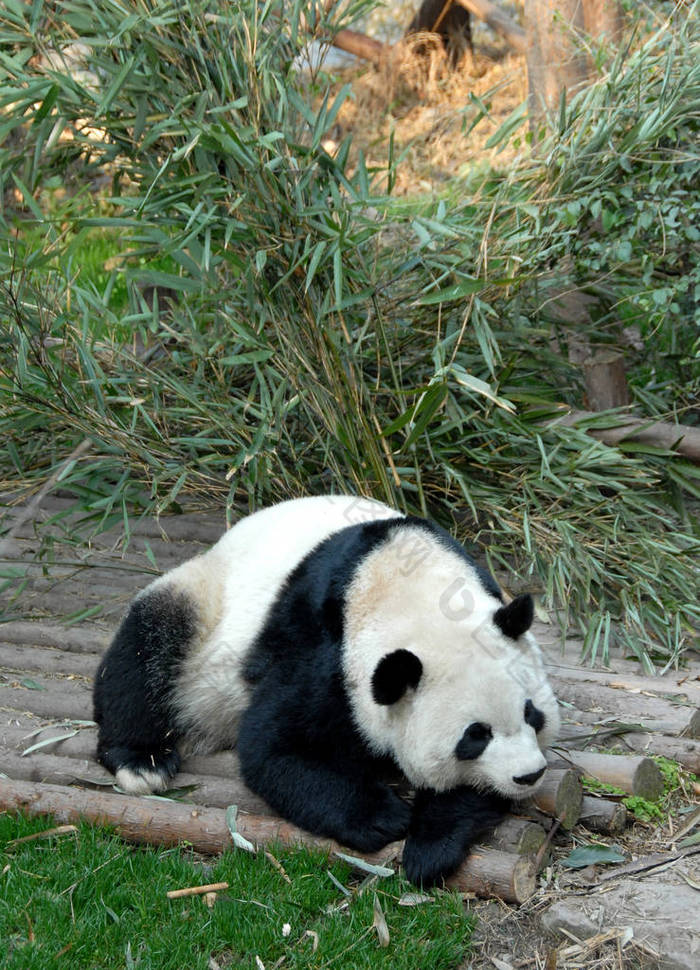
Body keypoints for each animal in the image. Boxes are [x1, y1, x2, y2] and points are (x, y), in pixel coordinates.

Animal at [94, 496, 564, 880]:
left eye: (532, 714)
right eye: (475, 736)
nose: (530, 774)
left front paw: (432, 845)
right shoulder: (322, 646)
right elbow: (277, 748)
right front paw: (385, 817)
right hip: (207, 603)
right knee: (149, 642)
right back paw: (142, 761)